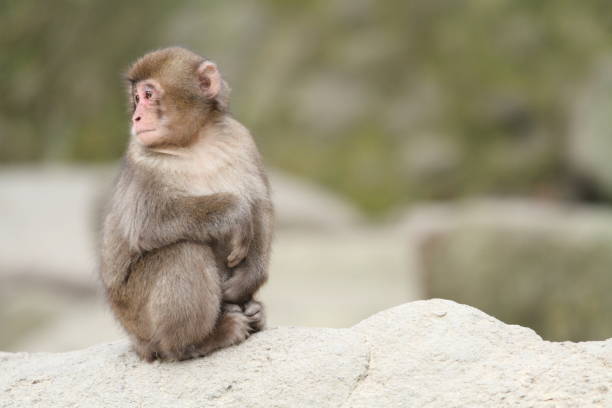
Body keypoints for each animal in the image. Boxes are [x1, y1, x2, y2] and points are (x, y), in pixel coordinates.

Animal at [100, 46, 272, 362]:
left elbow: (260, 207)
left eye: (148, 94)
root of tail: (137, 342)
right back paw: (199, 341)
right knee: (184, 251)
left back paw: (253, 312)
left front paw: (249, 278)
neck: (194, 142)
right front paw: (234, 212)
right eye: (136, 99)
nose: (137, 117)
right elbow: (147, 223)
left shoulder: (242, 141)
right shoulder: (142, 161)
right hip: (137, 315)